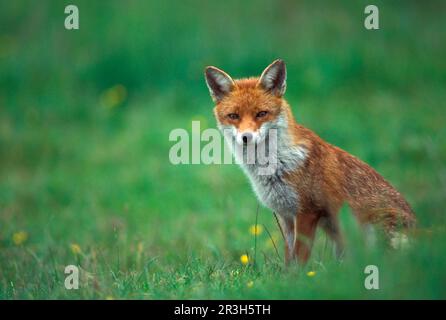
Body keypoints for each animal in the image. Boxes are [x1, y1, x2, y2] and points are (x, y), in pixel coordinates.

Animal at [204, 60, 416, 264]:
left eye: (261, 114)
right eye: (234, 116)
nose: (246, 137)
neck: (277, 165)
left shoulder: (308, 212)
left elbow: (300, 259)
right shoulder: (286, 216)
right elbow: (289, 260)